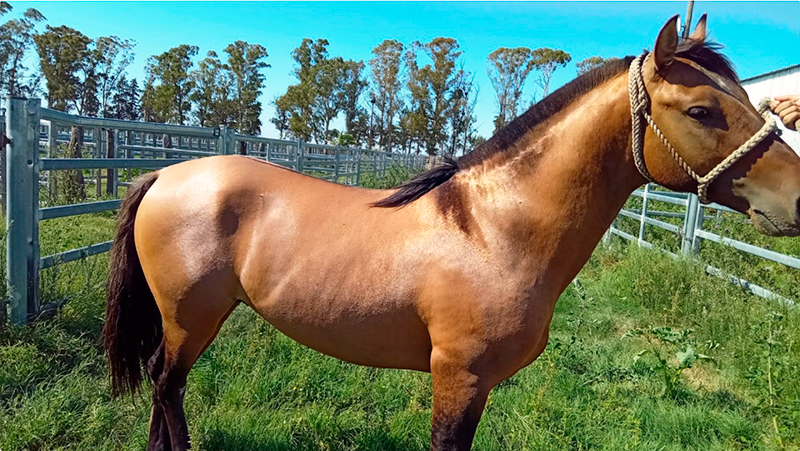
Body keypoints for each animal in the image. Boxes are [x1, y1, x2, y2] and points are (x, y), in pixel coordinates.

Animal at [103, 15, 800, 451]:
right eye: (702, 110)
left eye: (747, 99)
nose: (796, 198)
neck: (494, 231)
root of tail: (166, 174)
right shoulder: (458, 378)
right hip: (190, 316)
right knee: (167, 384)